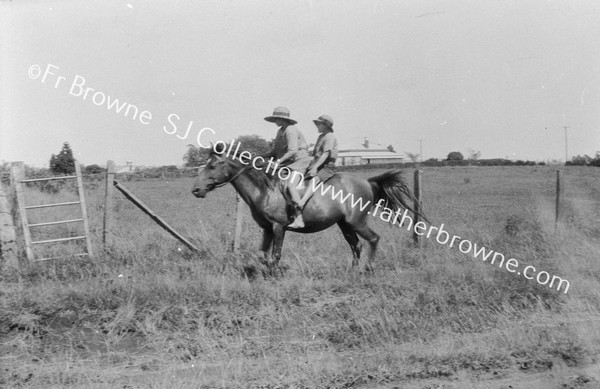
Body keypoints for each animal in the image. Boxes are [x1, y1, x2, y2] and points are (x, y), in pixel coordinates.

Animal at [191, 149, 422, 272]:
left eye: (213, 166)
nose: (196, 189)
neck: (265, 189)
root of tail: (367, 181)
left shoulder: (278, 227)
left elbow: (275, 256)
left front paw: (273, 275)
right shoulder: (267, 229)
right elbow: (262, 255)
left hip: (357, 222)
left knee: (373, 239)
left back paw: (368, 269)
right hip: (344, 224)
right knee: (356, 246)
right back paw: (353, 271)